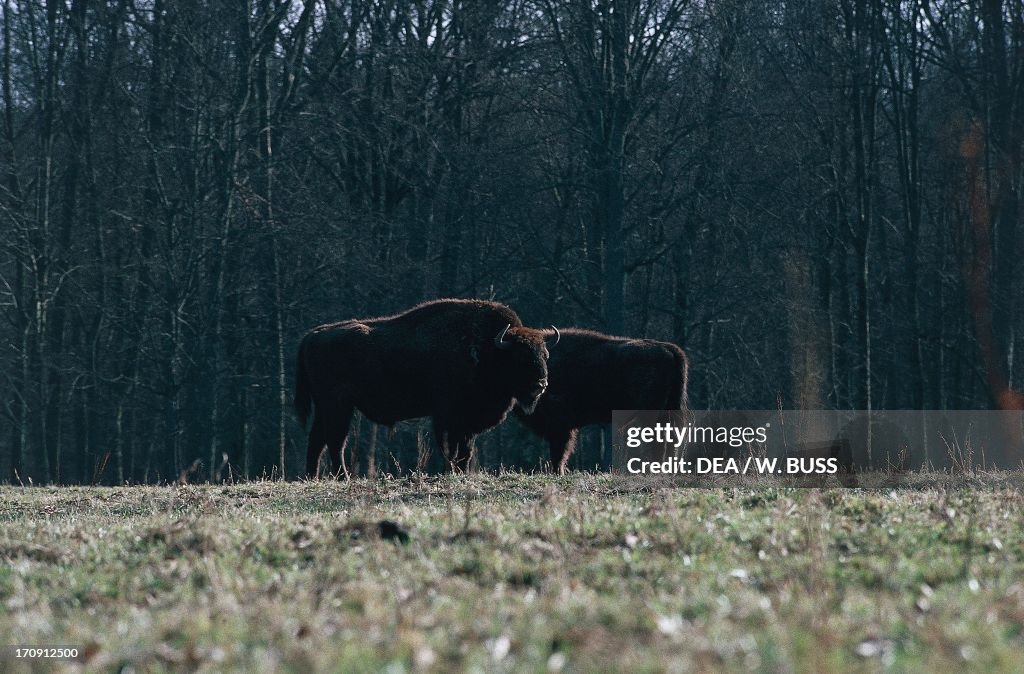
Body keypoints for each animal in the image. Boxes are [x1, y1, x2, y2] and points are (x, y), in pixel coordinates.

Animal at [292, 297, 557, 475]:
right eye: (521, 358)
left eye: (545, 355)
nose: (541, 384)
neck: (486, 348)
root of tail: (313, 335)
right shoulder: (448, 416)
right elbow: (451, 447)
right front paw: (451, 470)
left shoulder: (467, 422)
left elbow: (466, 450)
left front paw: (461, 471)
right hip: (338, 406)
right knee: (335, 441)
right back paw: (343, 477)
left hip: (327, 407)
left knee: (318, 441)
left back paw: (313, 476)